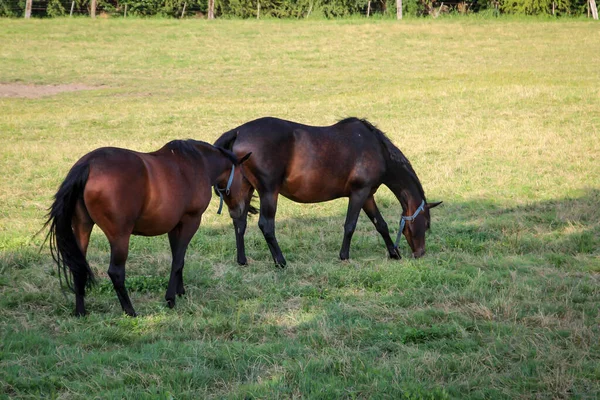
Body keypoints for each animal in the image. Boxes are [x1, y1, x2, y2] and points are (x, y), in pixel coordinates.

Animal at [45, 139, 251, 318]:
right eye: (245, 179)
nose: (241, 210)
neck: (197, 163)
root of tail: (89, 164)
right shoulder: (191, 221)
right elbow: (178, 261)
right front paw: (170, 299)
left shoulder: (174, 226)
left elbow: (179, 259)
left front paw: (180, 291)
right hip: (120, 236)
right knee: (116, 272)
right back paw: (130, 311)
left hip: (82, 227)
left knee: (78, 267)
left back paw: (81, 311)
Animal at [216, 117, 440, 270]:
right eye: (426, 224)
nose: (420, 253)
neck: (376, 148)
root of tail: (237, 131)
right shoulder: (359, 193)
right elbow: (350, 225)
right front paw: (344, 256)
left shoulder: (368, 196)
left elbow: (381, 224)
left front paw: (394, 253)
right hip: (269, 192)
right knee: (266, 225)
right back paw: (281, 261)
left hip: (245, 190)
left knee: (240, 223)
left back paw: (242, 261)